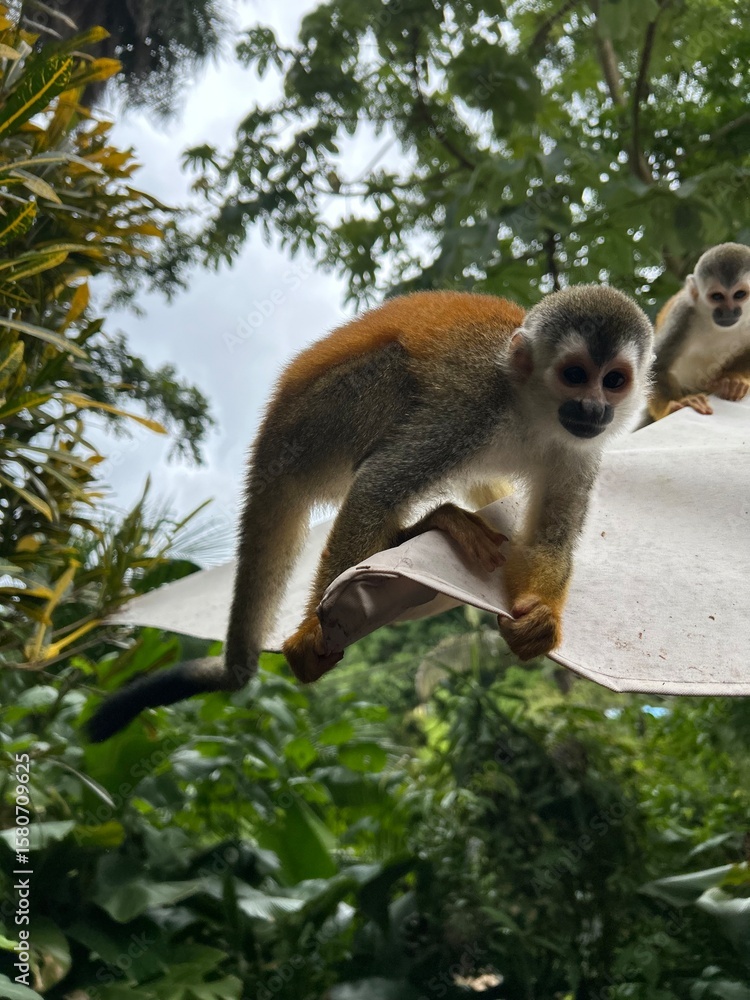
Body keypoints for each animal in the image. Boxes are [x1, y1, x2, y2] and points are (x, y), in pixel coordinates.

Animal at [86, 286, 653, 742]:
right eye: (576, 374)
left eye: (614, 380)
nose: (594, 408)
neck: (532, 412)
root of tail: (267, 442)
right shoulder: (472, 409)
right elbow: (375, 488)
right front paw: (313, 633)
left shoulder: (580, 449)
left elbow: (549, 540)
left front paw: (540, 619)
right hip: (318, 422)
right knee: (392, 390)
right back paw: (420, 526)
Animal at [648, 242, 750, 420]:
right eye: (717, 296)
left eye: (739, 294)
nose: (728, 312)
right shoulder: (683, 315)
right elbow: (658, 364)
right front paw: (671, 407)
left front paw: (735, 379)